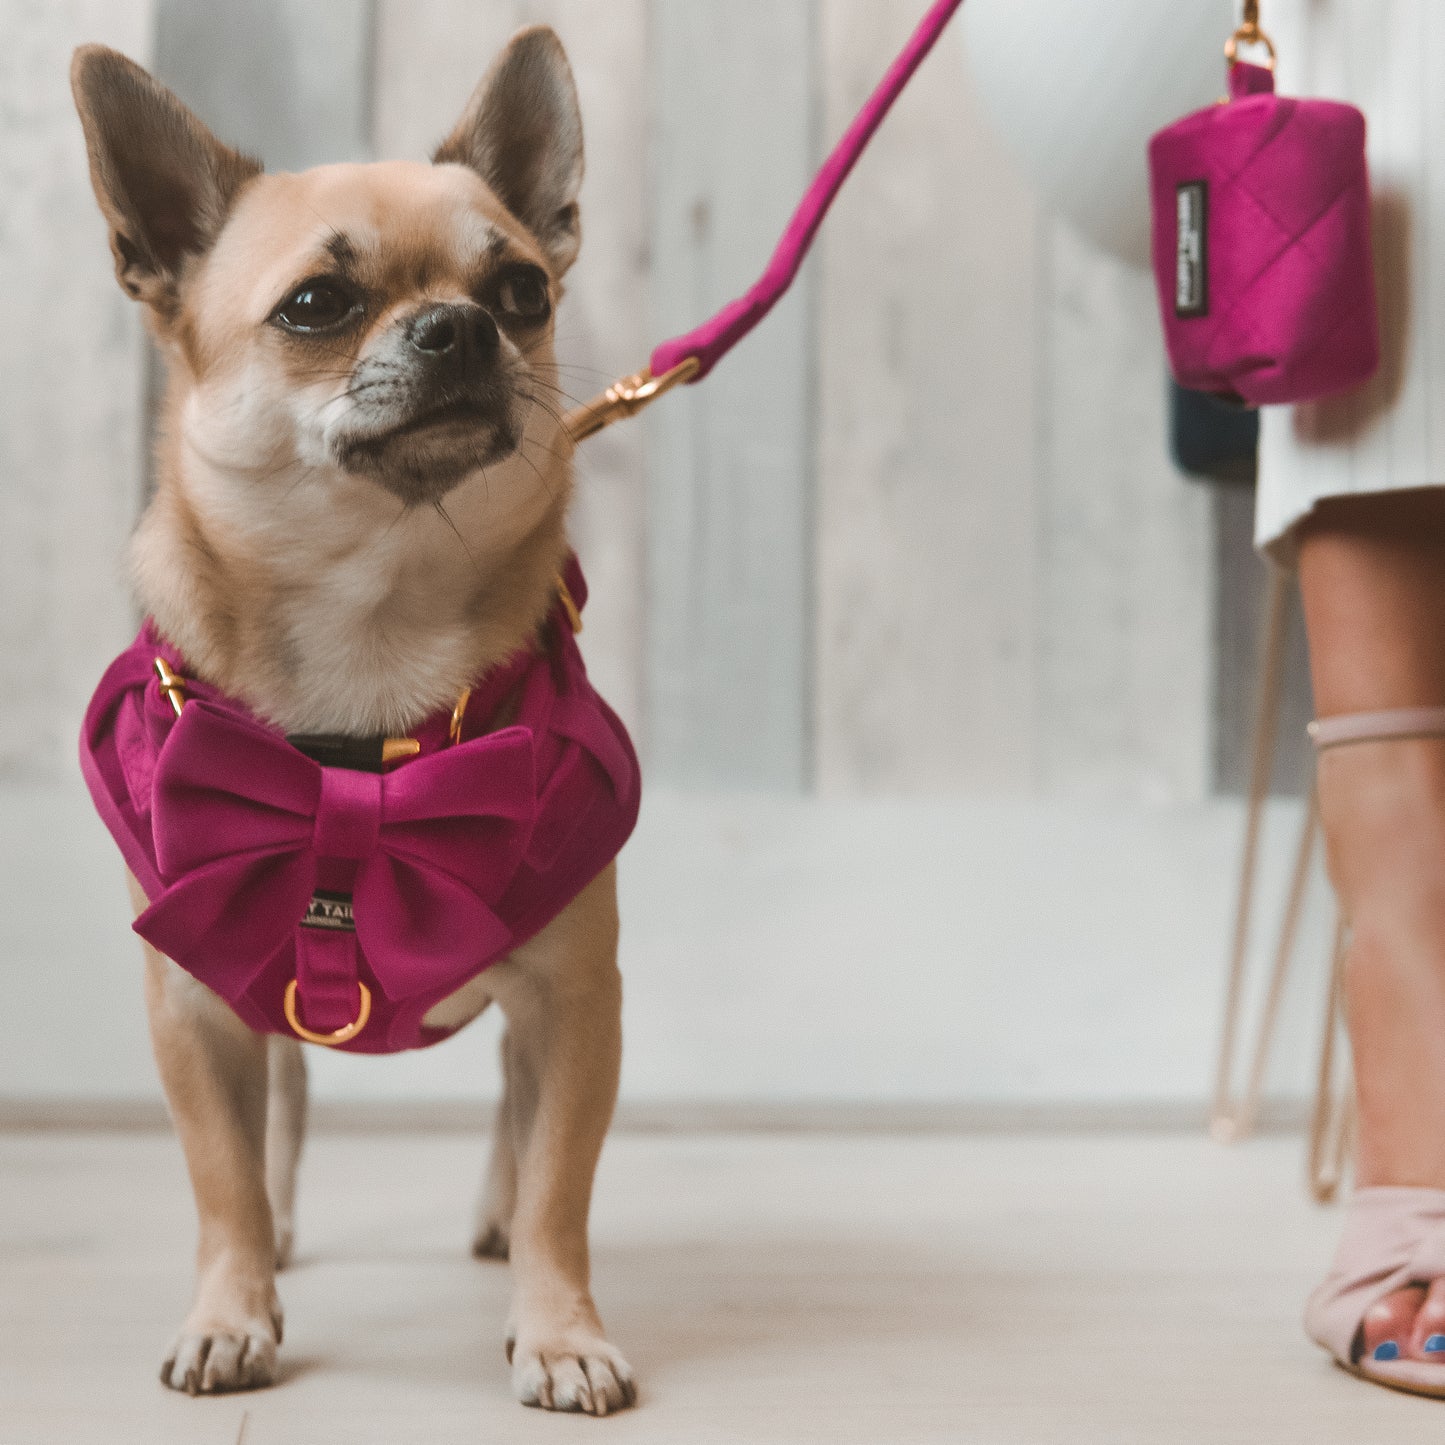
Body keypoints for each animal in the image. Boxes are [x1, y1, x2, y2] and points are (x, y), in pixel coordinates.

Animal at [68, 28, 632, 1416]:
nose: (460, 325)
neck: (374, 623)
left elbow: (561, 1181)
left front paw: (557, 1329)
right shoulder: (194, 1007)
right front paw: (232, 1309)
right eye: (316, 307)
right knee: (283, 1107)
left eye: (523, 289)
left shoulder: (575, 997)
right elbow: (218, 1176)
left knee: (512, 1113)